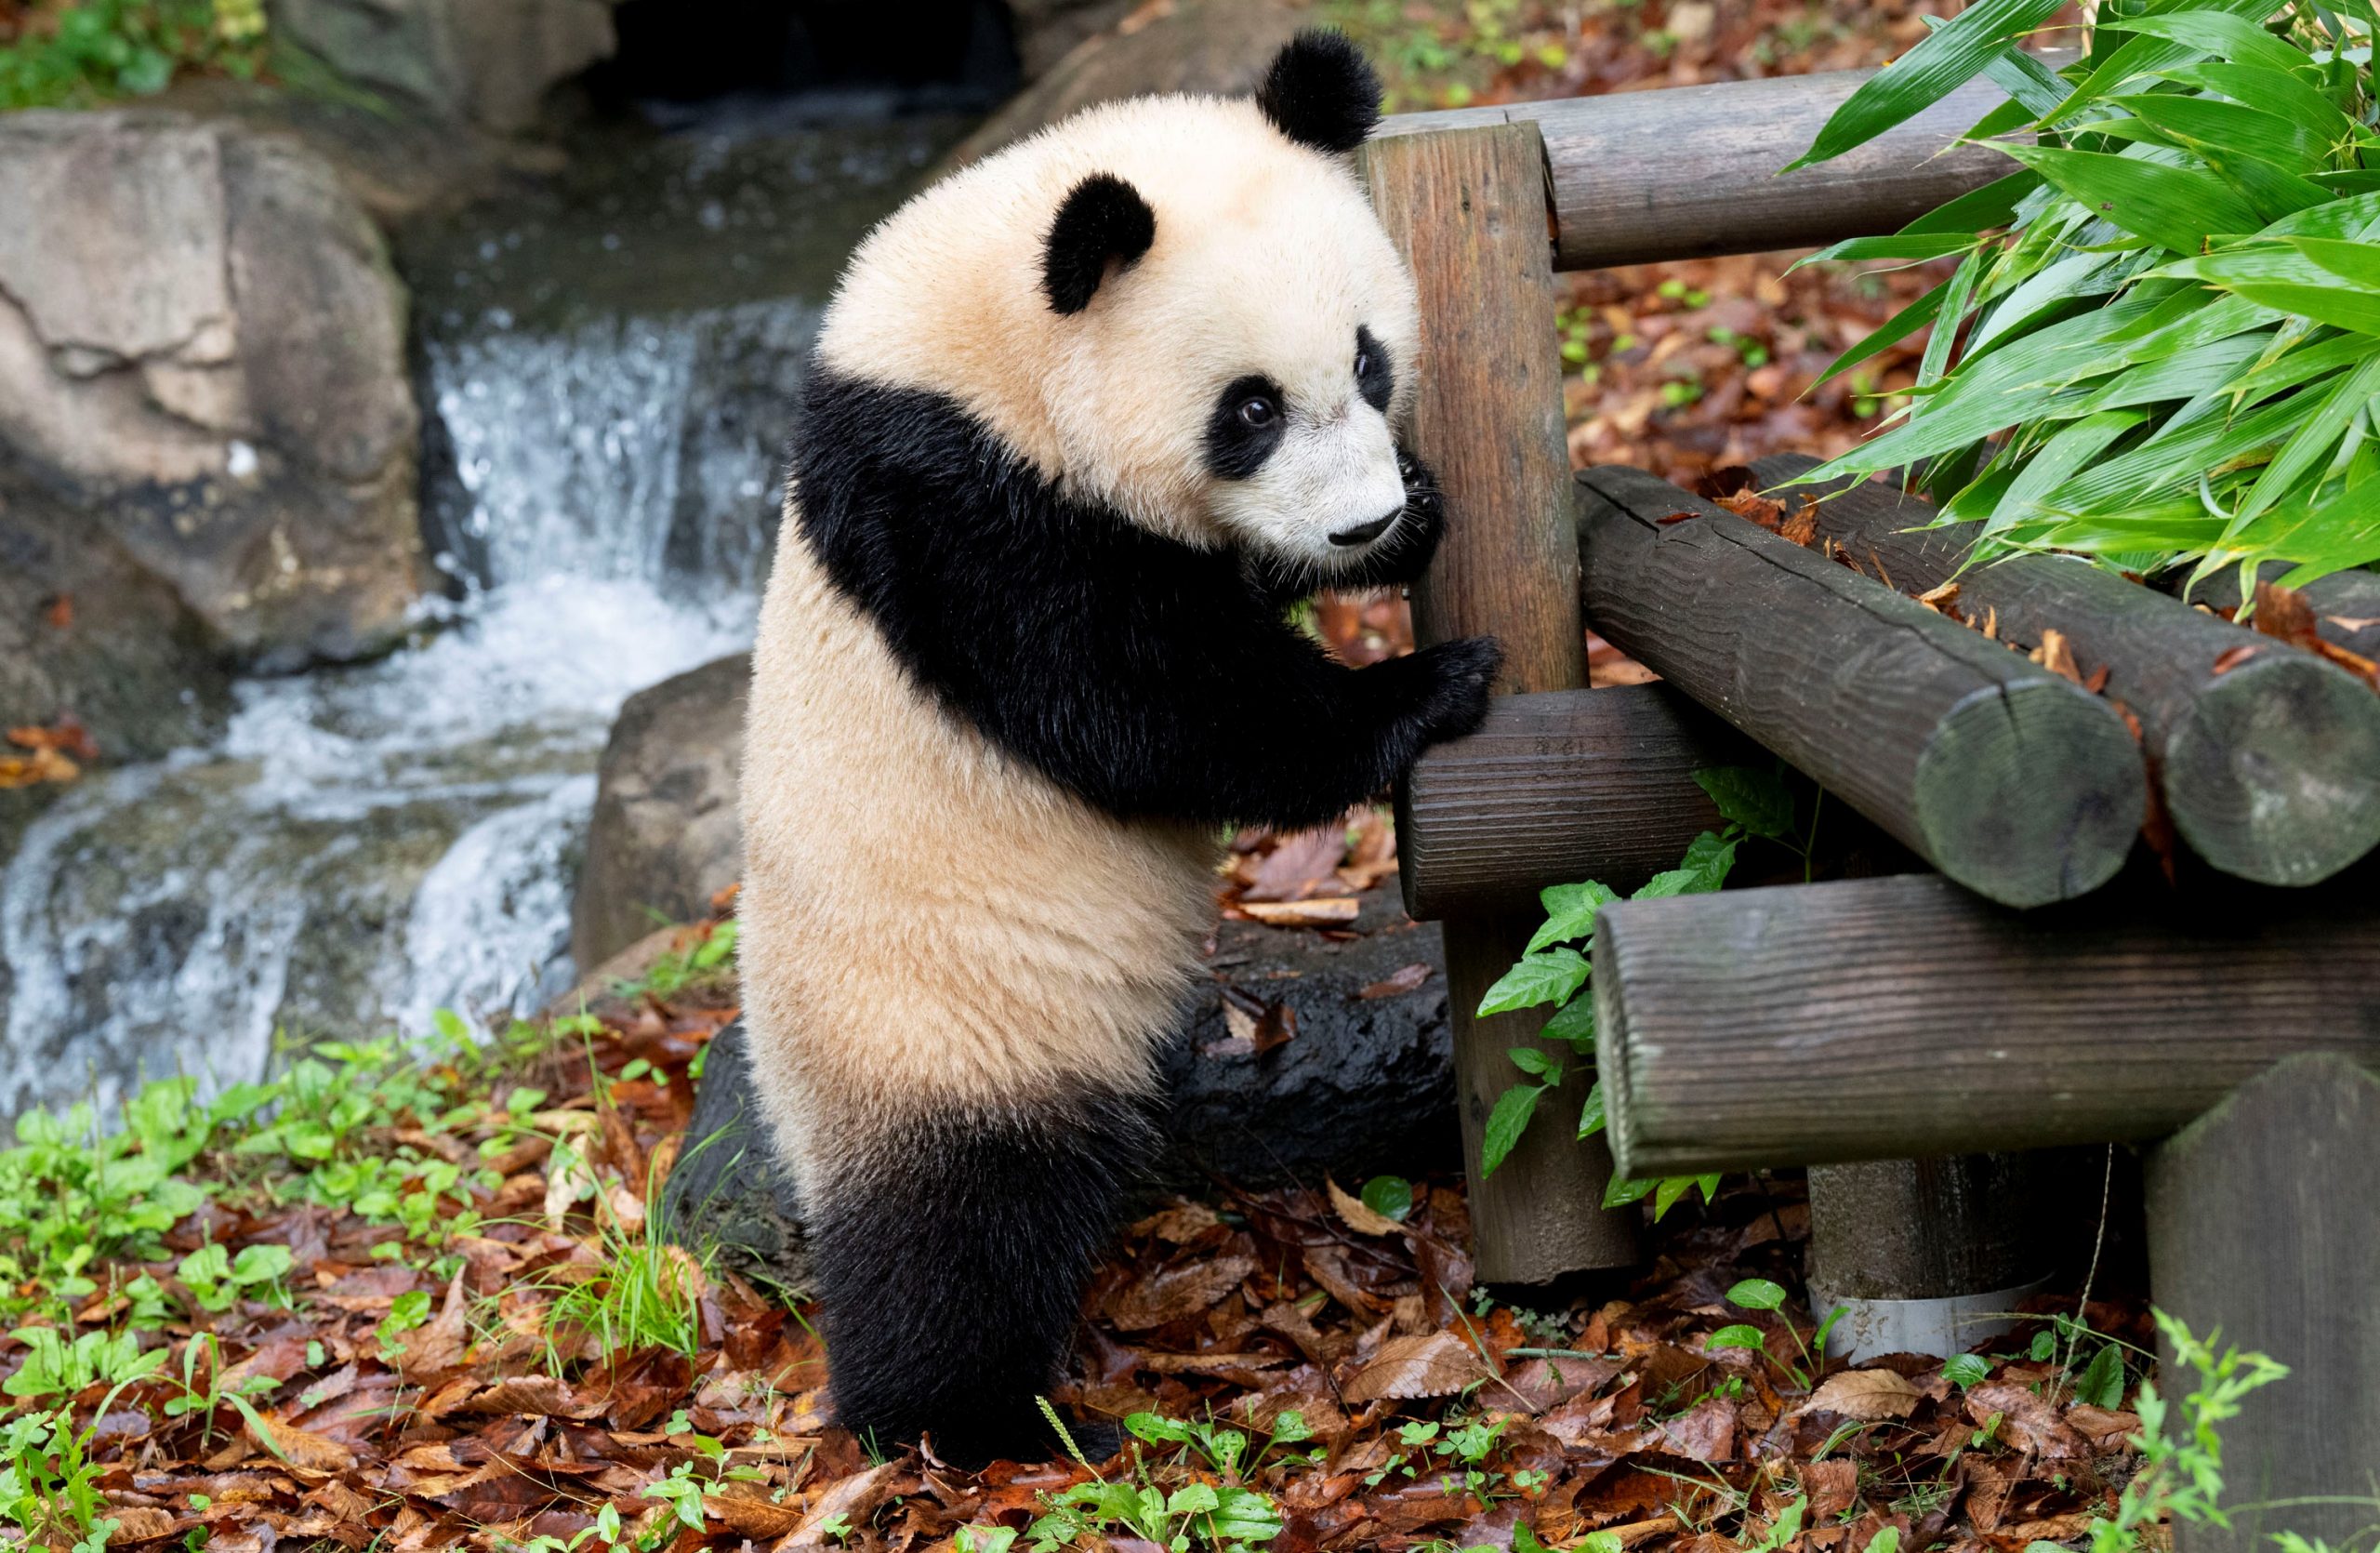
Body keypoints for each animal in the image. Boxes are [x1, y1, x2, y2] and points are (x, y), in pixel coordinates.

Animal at [733, 33, 1494, 1467]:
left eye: (1370, 361)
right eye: (1248, 410)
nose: (1363, 523)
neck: (973, 340)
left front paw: (1415, 517)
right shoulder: (960, 504)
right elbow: (1144, 703)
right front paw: (1423, 690)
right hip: (937, 1021)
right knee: (961, 1231)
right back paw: (965, 1417)